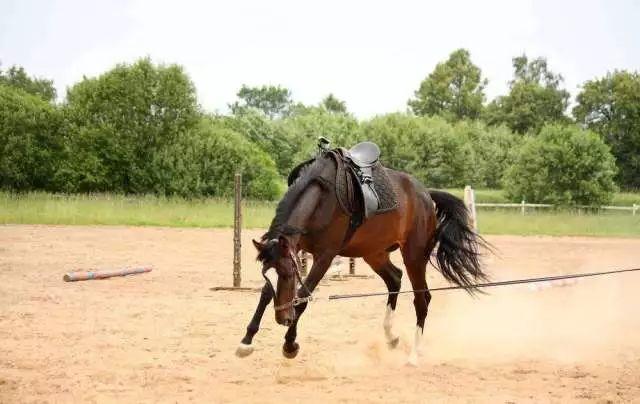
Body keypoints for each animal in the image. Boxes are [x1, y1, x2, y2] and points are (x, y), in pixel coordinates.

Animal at [236, 146, 490, 366]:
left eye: (289, 275)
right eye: (269, 275)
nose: (282, 318)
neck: (322, 194)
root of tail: (426, 195)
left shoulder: (325, 256)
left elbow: (302, 297)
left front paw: (290, 345)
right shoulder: (295, 247)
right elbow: (266, 293)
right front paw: (246, 341)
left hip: (414, 256)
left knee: (422, 298)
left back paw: (413, 356)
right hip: (374, 253)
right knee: (395, 279)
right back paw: (391, 337)